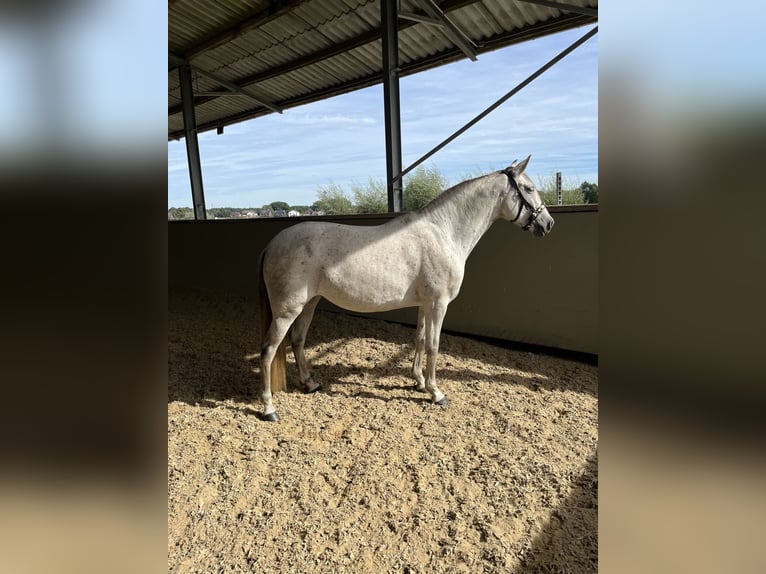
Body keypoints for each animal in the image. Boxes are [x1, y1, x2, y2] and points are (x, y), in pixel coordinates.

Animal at [258, 156, 552, 424]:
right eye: (528, 188)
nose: (548, 223)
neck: (444, 232)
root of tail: (272, 244)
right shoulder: (438, 304)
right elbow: (434, 345)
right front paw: (436, 393)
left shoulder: (424, 304)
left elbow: (419, 340)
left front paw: (419, 381)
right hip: (287, 311)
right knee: (269, 350)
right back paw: (269, 409)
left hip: (310, 303)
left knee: (297, 340)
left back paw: (310, 384)